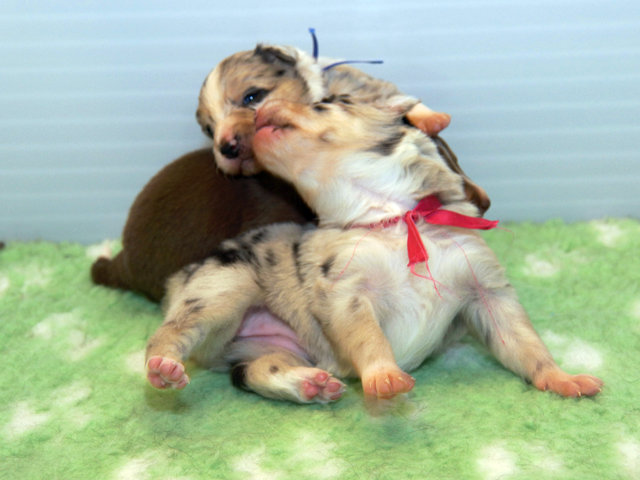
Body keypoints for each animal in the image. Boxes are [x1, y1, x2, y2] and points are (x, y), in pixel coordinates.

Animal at [145, 96, 603, 403]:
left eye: (324, 103)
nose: (255, 110)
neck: (393, 216)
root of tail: (176, 280)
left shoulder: (486, 290)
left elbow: (525, 344)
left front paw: (562, 378)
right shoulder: (344, 290)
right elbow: (368, 337)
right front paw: (385, 375)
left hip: (269, 343)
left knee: (257, 369)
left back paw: (309, 384)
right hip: (221, 291)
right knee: (166, 335)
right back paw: (164, 366)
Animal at [196, 43, 491, 214]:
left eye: (252, 97)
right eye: (209, 130)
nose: (226, 147)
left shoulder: (364, 85)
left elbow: (395, 97)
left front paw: (431, 119)